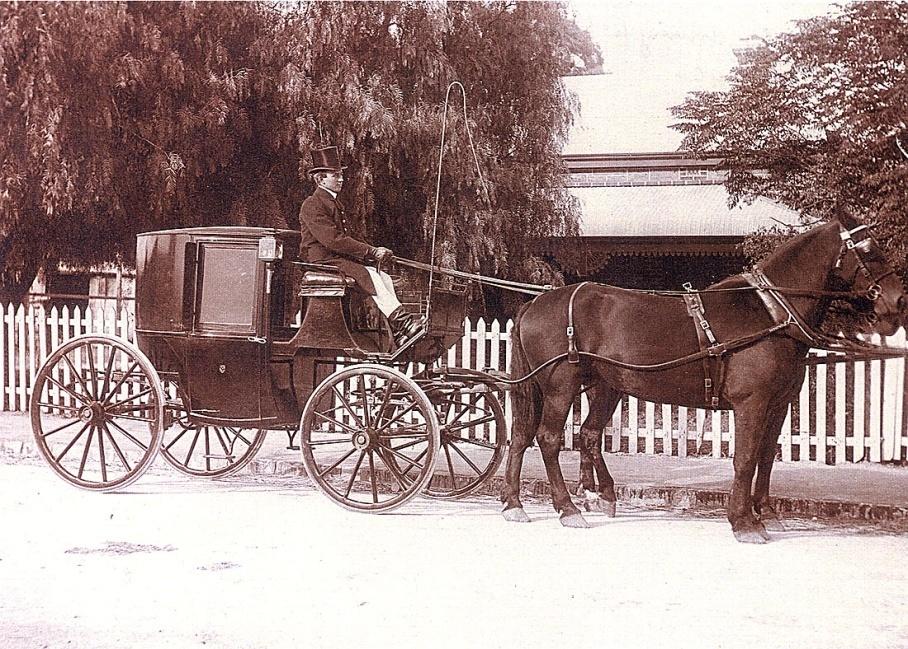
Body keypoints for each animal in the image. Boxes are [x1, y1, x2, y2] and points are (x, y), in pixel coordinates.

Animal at [504, 213, 908, 540]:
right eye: (869, 250)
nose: (897, 301)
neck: (769, 312)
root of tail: (536, 302)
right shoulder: (751, 404)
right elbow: (745, 458)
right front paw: (744, 522)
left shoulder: (778, 404)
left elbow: (765, 457)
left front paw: (765, 513)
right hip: (560, 386)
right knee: (548, 439)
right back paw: (567, 508)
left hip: (605, 386)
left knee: (565, 435)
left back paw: (536, 501)